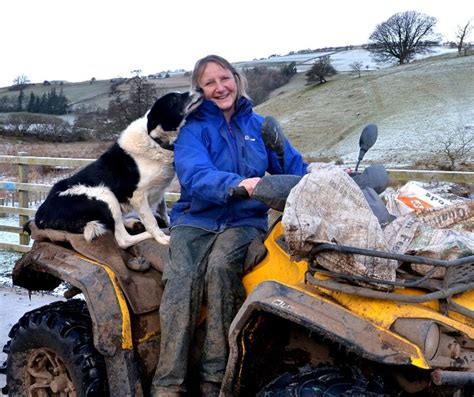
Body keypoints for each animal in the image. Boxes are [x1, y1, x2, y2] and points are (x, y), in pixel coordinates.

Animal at [34, 91, 202, 249]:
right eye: (174, 99)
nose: (199, 90)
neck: (155, 141)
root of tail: (41, 215)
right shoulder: (138, 195)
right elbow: (151, 220)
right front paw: (161, 237)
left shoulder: (159, 191)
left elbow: (163, 212)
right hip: (105, 195)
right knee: (122, 239)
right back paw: (144, 232)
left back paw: (132, 222)